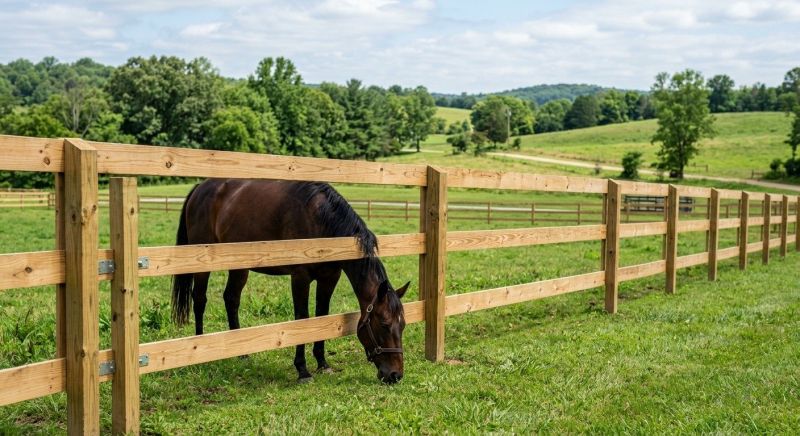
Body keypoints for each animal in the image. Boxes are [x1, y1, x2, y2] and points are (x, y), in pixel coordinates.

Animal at [171, 179, 410, 384]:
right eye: (384, 324)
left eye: (403, 325)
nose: (395, 375)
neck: (322, 222)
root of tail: (200, 188)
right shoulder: (300, 278)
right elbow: (302, 318)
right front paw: (302, 370)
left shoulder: (329, 278)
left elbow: (321, 315)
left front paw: (322, 363)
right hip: (202, 262)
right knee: (199, 299)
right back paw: (201, 348)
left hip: (239, 266)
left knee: (231, 299)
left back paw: (241, 353)